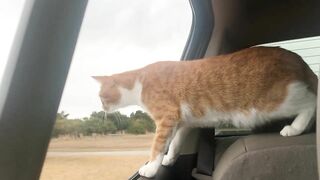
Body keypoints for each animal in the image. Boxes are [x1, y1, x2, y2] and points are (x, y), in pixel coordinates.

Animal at [92, 46, 318, 177]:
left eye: (101, 96)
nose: (102, 107)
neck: (139, 82)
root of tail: (297, 59)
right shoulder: (182, 123)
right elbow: (175, 145)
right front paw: (170, 159)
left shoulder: (167, 118)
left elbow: (157, 146)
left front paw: (151, 167)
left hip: (278, 101)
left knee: (311, 102)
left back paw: (295, 128)